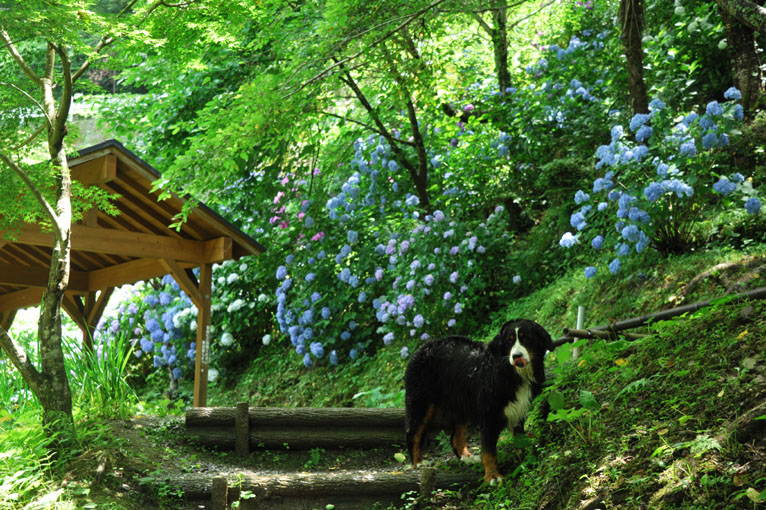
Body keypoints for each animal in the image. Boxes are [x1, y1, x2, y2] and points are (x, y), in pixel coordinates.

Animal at [404, 318, 556, 482]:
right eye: (509, 341)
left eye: (526, 338)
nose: (516, 356)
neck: (512, 374)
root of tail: (422, 348)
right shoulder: (490, 417)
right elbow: (489, 452)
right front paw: (493, 476)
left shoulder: (518, 411)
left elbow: (520, 440)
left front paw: (525, 460)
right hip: (421, 403)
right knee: (413, 433)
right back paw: (418, 462)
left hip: (460, 402)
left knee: (455, 437)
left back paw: (467, 457)